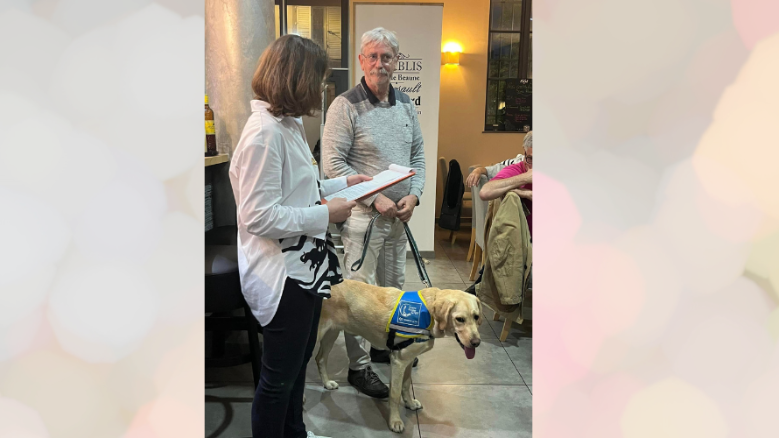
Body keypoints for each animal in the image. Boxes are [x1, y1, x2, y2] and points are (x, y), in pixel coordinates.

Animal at [316, 278, 484, 432]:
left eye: (476, 317)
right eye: (460, 319)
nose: (476, 342)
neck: (429, 314)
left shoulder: (408, 360)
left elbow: (406, 385)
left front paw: (410, 403)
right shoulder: (398, 361)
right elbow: (395, 394)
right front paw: (395, 421)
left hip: (331, 334)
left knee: (320, 359)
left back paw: (327, 383)